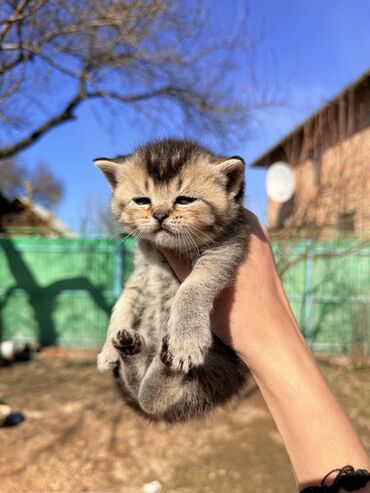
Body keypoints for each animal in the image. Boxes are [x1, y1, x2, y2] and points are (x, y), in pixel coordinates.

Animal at [95, 137, 250, 418]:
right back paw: (131, 350)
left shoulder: (226, 249)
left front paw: (187, 340)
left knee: (151, 403)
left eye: (185, 200)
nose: (159, 215)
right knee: (140, 397)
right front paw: (107, 351)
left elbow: (193, 286)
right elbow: (123, 302)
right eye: (142, 200)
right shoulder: (141, 271)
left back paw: (167, 360)